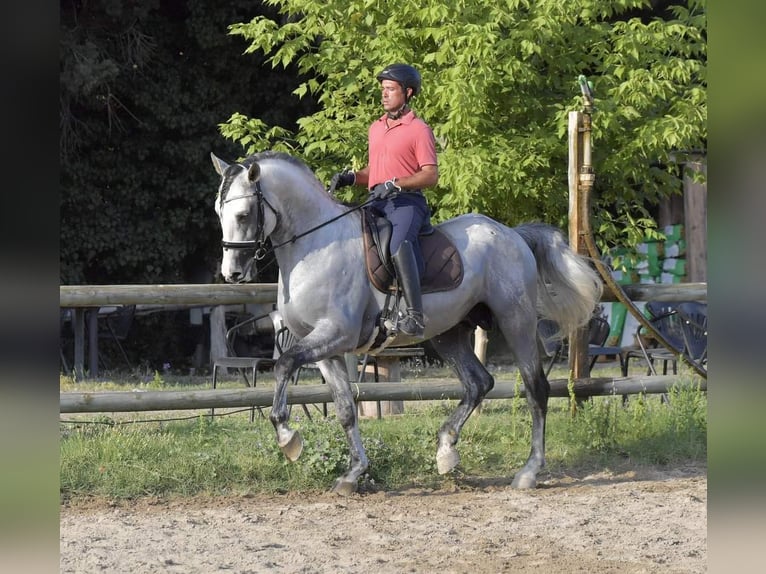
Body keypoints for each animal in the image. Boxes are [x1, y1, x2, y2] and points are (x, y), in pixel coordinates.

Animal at [212, 151, 608, 498]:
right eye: (219, 212)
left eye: (244, 215)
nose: (232, 274)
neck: (315, 245)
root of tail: (512, 234)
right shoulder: (323, 348)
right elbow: (344, 409)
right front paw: (353, 474)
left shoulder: (335, 334)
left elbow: (282, 365)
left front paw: (287, 438)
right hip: (449, 334)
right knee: (479, 383)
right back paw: (446, 451)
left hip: (516, 321)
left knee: (535, 388)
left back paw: (528, 471)